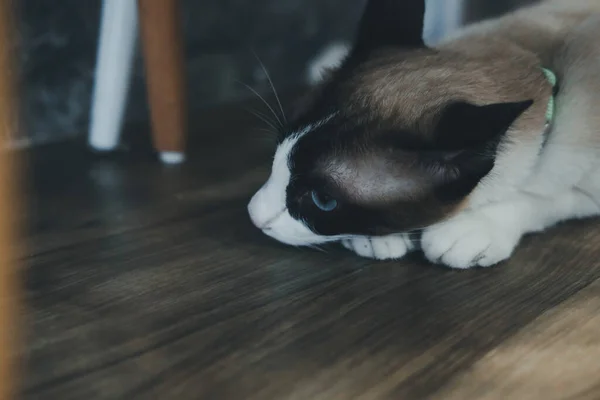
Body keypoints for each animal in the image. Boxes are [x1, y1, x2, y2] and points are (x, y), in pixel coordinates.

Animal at [246, 0, 600, 270]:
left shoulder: (585, 186)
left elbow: (544, 197)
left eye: (323, 201)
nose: (254, 216)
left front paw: (470, 230)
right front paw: (377, 240)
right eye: (277, 156)